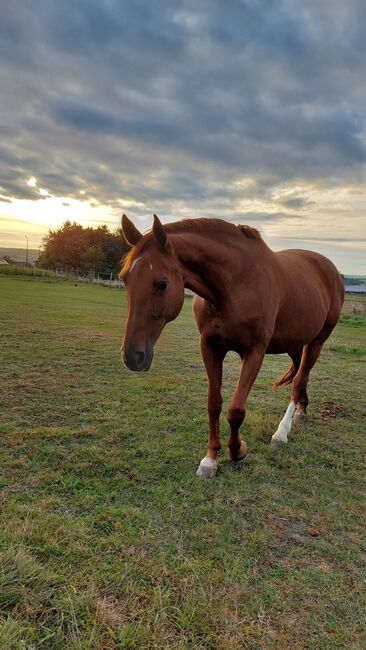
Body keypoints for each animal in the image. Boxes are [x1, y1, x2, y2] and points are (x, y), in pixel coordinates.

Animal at [120, 213, 344, 476]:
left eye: (162, 283)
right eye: (124, 279)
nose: (132, 356)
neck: (235, 284)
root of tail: (330, 268)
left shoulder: (255, 352)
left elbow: (236, 410)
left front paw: (237, 450)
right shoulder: (210, 347)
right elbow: (214, 403)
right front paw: (210, 459)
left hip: (318, 339)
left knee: (300, 380)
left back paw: (281, 432)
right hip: (295, 343)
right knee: (300, 374)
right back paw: (301, 411)